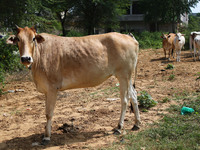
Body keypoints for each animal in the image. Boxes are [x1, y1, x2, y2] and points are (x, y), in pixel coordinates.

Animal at [6, 26, 141, 145]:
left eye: (33, 38)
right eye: (18, 39)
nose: (26, 58)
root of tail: (128, 36)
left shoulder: (52, 89)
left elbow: (49, 113)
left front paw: (46, 137)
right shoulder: (46, 90)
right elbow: (47, 113)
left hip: (124, 75)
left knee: (125, 100)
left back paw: (119, 127)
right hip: (127, 77)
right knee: (134, 95)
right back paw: (137, 124)